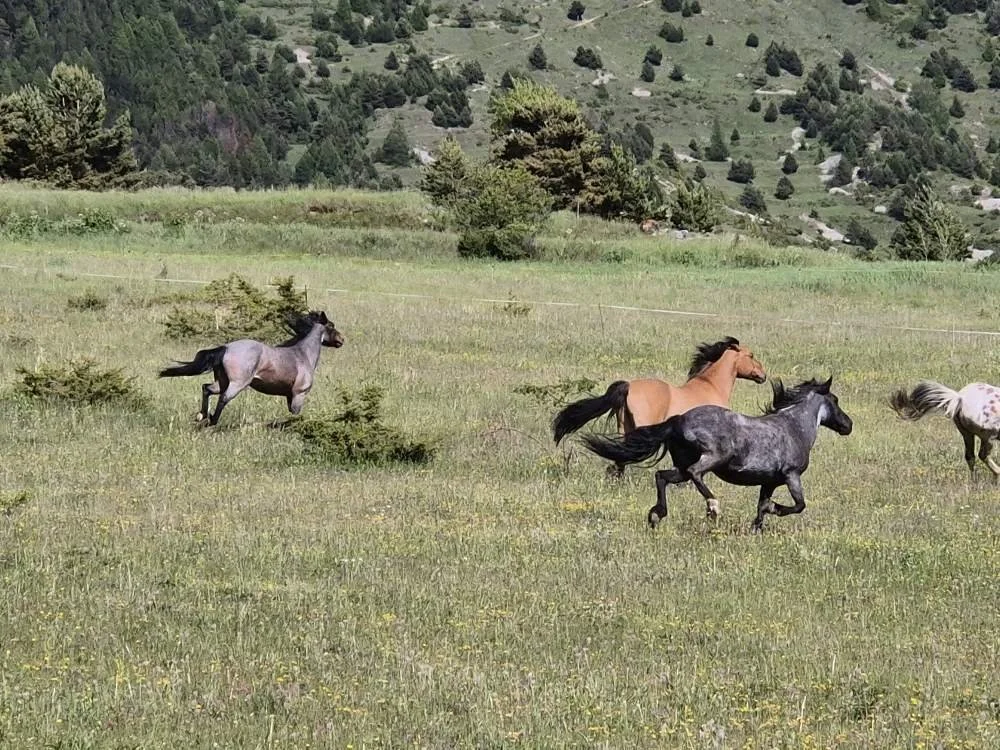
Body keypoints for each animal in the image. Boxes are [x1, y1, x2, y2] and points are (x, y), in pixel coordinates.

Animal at [159, 310, 344, 426]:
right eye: (331, 326)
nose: (341, 340)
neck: (302, 355)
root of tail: (226, 347)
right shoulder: (299, 394)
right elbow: (295, 415)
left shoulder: (289, 396)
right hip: (237, 383)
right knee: (223, 398)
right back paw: (212, 421)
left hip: (222, 382)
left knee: (207, 388)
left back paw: (202, 416)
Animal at [551, 336, 767, 477]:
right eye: (751, 355)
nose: (763, 375)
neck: (711, 386)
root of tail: (628, 386)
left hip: (624, 427)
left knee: (620, 454)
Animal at [579, 377, 853, 531]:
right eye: (836, 400)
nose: (848, 425)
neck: (794, 427)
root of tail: (678, 420)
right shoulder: (791, 476)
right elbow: (798, 505)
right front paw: (773, 510)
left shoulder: (769, 482)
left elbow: (761, 507)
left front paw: (756, 528)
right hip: (713, 458)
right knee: (695, 474)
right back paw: (713, 507)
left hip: (681, 466)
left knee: (662, 476)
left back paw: (656, 515)